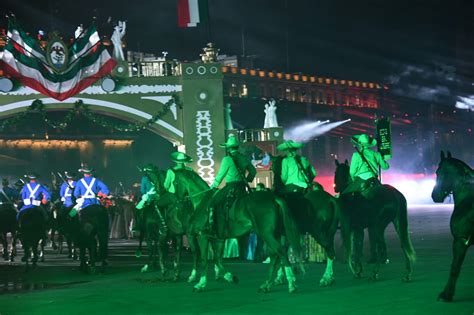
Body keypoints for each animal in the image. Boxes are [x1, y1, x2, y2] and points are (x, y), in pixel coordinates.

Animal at [270, 157, 340, 288]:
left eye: (274, 164)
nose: (271, 168)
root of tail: (330, 199)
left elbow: (281, 252)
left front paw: (283, 277)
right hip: (330, 231)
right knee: (331, 250)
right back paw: (329, 277)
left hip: (318, 232)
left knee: (329, 250)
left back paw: (326, 278)